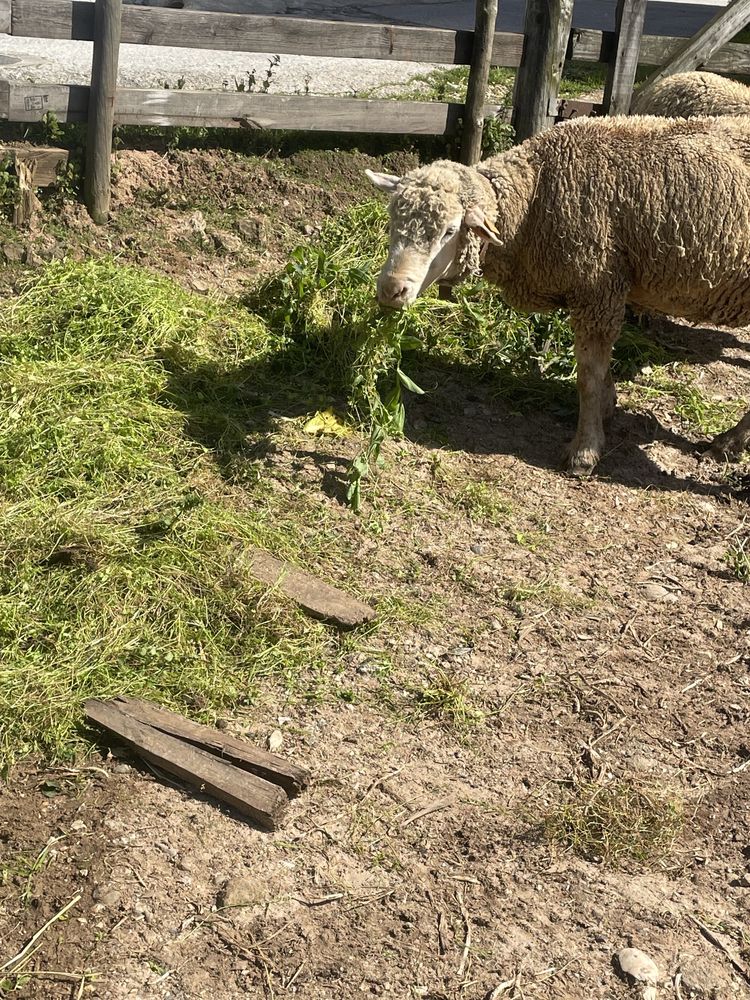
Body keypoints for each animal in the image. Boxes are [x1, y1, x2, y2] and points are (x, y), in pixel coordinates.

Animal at [368, 115, 750, 474]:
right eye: (391, 220)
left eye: (449, 231)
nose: (391, 289)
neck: (532, 202)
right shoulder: (599, 293)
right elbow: (599, 369)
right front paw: (607, 408)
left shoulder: (597, 287)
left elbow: (588, 376)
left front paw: (585, 450)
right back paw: (730, 443)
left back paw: (728, 444)